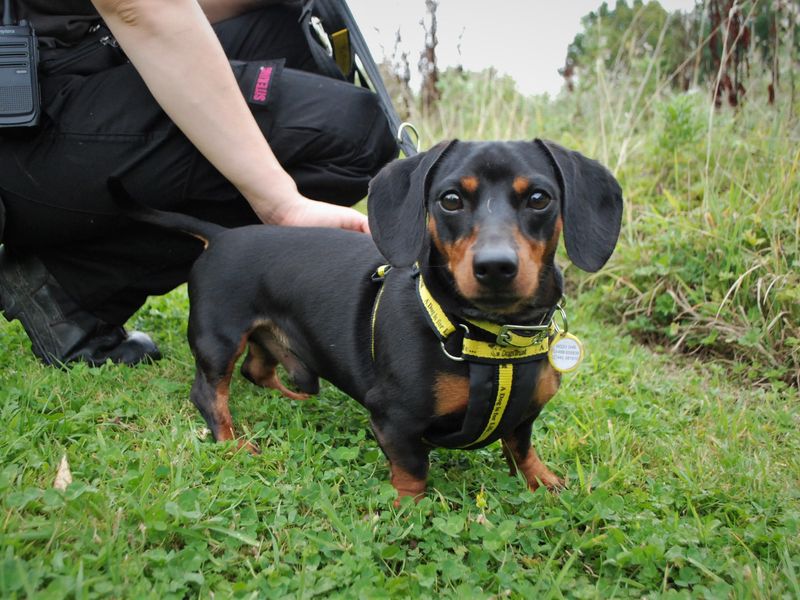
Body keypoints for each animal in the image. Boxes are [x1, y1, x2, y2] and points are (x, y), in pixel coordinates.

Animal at [115, 141, 620, 502]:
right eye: (450, 200)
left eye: (539, 198)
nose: (495, 266)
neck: (490, 340)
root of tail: (220, 236)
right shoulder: (394, 419)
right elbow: (413, 469)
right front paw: (408, 509)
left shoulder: (524, 415)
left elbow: (521, 445)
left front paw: (542, 480)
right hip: (218, 338)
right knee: (210, 393)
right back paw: (234, 442)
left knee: (257, 371)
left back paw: (294, 399)